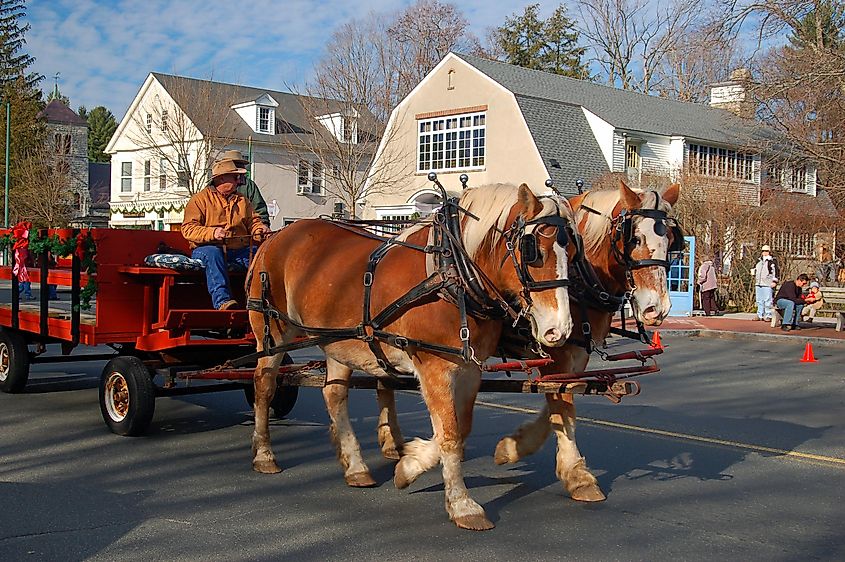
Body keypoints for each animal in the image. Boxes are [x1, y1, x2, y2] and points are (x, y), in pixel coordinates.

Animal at [247, 184, 580, 528]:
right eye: (533, 251)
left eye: (572, 252)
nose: (560, 329)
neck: (452, 274)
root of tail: (276, 236)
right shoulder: (434, 368)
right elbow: (449, 434)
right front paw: (462, 504)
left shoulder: (469, 369)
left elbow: (460, 428)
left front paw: (409, 466)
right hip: (272, 332)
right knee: (264, 386)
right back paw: (264, 454)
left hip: (336, 340)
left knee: (334, 395)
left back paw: (356, 467)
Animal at [492, 179, 684, 498]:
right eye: (634, 239)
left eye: (671, 240)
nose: (657, 308)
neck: (580, 274)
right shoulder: (554, 349)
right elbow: (561, 404)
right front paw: (576, 475)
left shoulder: (578, 352)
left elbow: (561, 402)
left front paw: (514, 446)